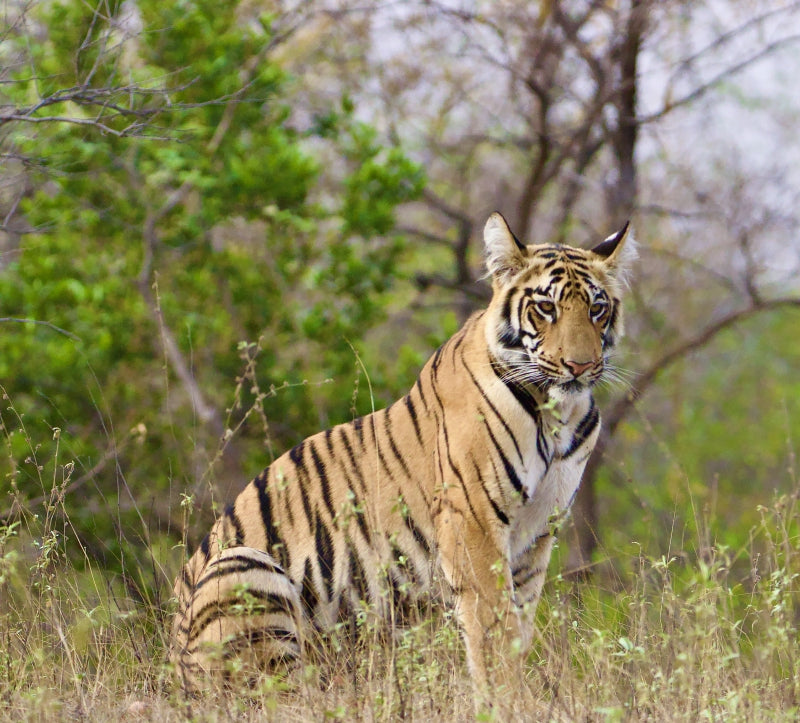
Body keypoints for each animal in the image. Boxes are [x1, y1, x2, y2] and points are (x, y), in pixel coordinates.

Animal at [170, 212, 634, 708]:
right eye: (546, 308)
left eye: (597, 309)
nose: (580, 366)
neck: (557, 412)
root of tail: (171, 666)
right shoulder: (472, 519)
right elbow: (494, 628)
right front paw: (507, 704)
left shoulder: (536, 534)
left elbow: (518, 626)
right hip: (243, 565)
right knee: (283, 698)